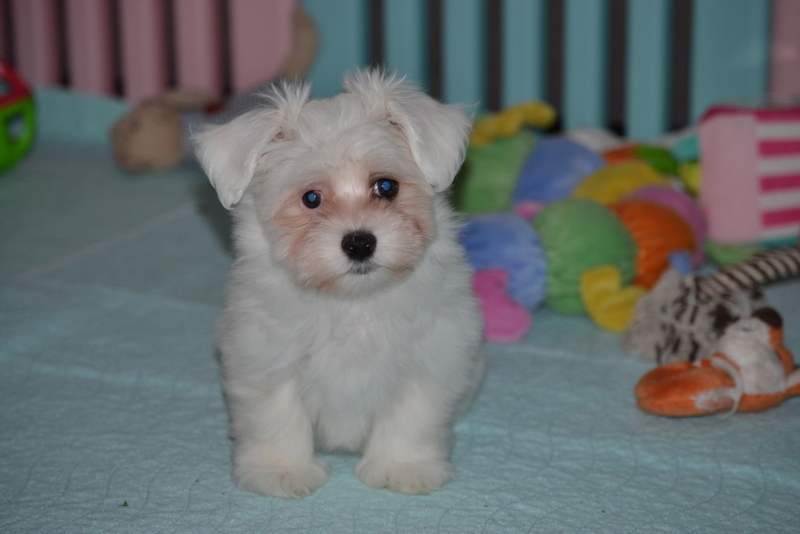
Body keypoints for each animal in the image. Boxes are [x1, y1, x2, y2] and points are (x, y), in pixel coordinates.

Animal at [194, 69, 488, 500]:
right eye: (311, 198)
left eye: (386, 187)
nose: (360, 243)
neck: (352, 302)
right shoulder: (267, 359)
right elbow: (276, 418)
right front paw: (281, 472)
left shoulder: (429, 357)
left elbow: (412, 418)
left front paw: (404, 468)